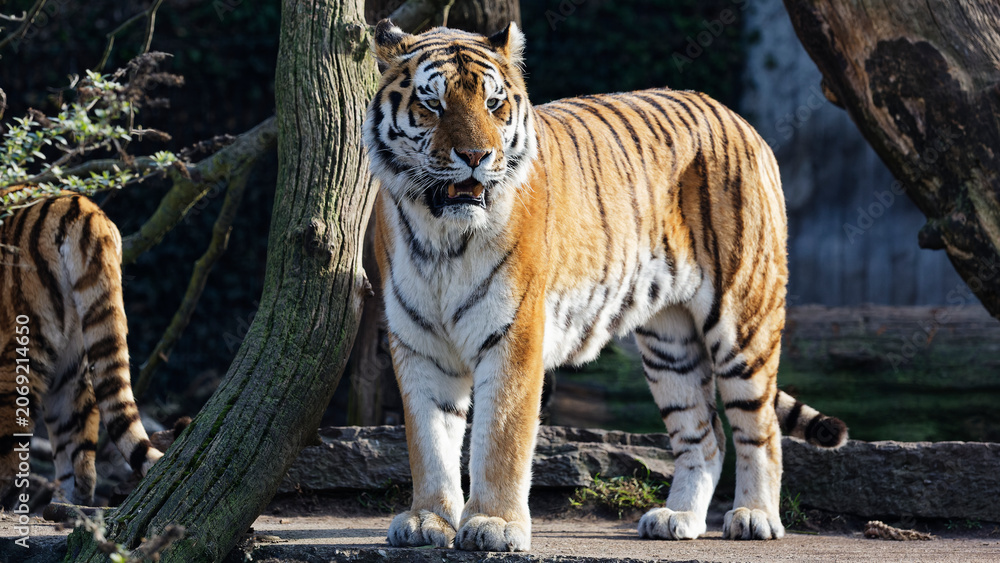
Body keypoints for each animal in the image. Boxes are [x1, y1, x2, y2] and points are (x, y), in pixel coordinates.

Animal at [364, 20, 847, 552]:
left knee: (759, 429)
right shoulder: (418, 341)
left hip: (743, 319)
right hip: (670, 343)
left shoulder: (515, 334)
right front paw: (427, 520)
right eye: (432, 104)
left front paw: (494, 524)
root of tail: (737, 117)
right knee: (706, 436)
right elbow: (428, 440)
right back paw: (677, 518)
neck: (442, 236)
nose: (476, 156)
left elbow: (500, 438)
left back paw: (755, 516)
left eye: (493, 104)